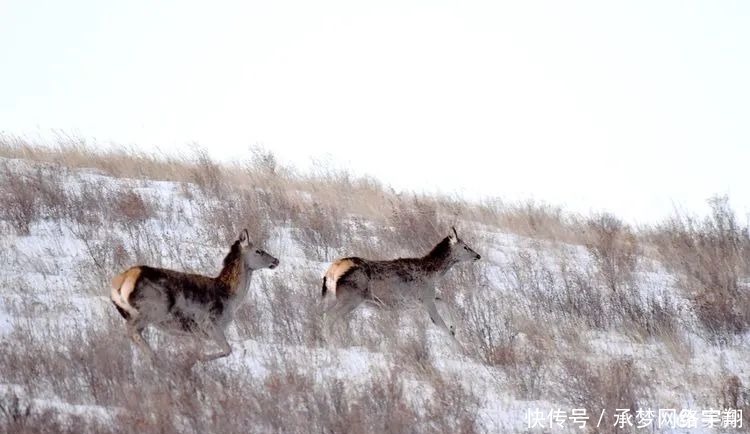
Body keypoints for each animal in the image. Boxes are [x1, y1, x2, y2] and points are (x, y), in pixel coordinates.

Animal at [110, 229, 278, 364]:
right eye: (258, 251)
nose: (276, 260)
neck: (231, 298)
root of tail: (120, 283)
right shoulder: (210, 323)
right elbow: (226, 350)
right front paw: (194, 358)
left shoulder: (195, 333)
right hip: (153, 309)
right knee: (131, 330)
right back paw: (155, 358)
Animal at [324, 227, 482, 346]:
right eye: (465, 247)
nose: (478, 256)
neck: (433, 274)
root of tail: (332, 270)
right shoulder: (425, 298)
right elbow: (439, 323)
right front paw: (461, 349)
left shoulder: (422, 298)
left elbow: (445, 302)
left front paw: (453, 328)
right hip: (351, 297)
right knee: (329, 317)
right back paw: (331, 342)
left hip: (331, 296)